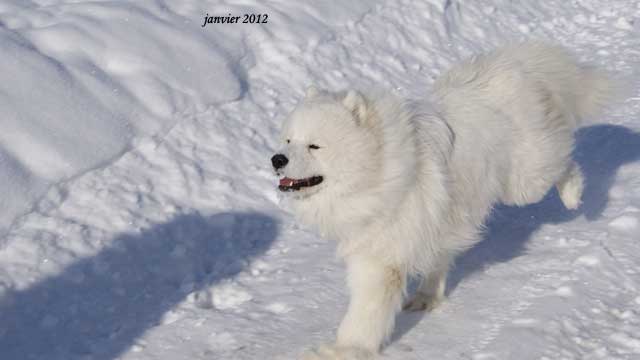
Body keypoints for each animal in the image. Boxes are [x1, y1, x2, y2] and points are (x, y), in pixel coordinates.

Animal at [272, 41, 612, 358]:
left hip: (525, 182)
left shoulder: (384, 254)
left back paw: (573, 194)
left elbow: (366, 310)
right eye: (288, 140)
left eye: (314, 146)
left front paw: (345, 349)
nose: (277, 159)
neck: (377, 166)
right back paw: (426, 297)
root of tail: (515, 66)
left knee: (564, 161)